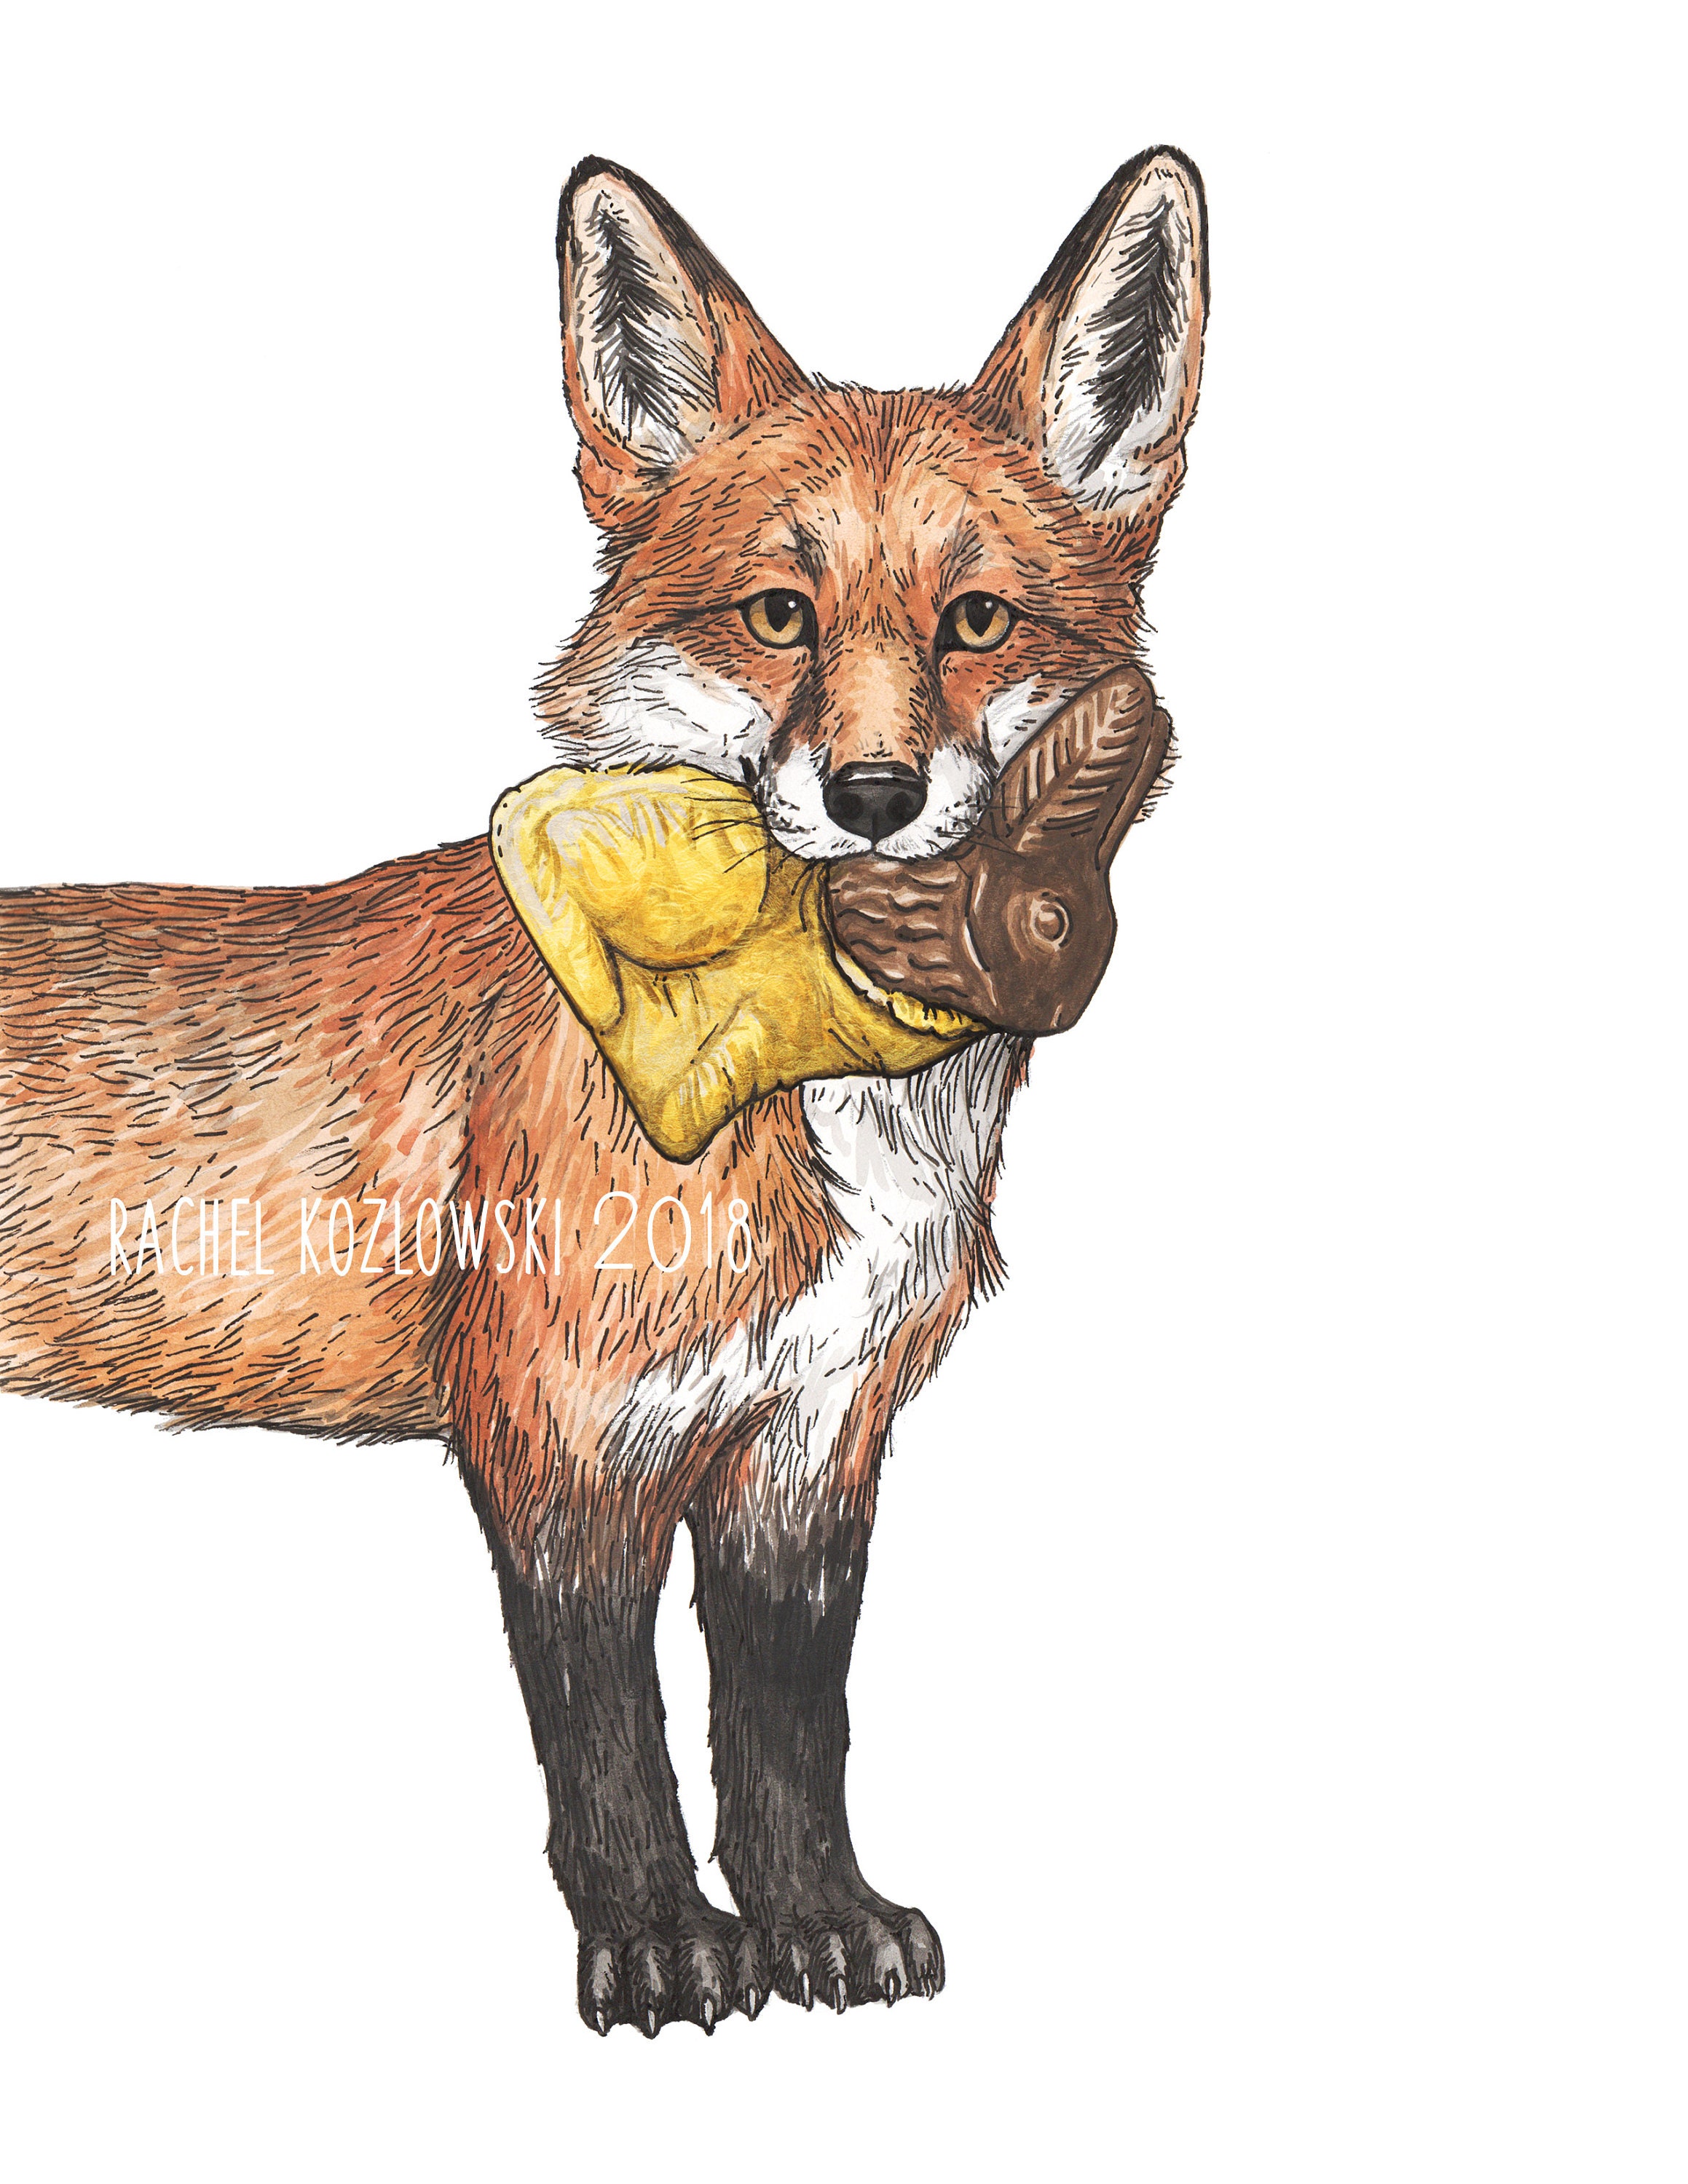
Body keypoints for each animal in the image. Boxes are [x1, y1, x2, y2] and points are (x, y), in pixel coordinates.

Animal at [0, 146, 1207, 2036]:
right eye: (779, 617)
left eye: (977, 623)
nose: (872, 794)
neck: (806, 1075)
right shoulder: (560, 1434)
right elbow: (613, 1741)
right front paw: (652, 1943)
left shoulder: (809, 1444)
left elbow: (788, 1729)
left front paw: (816, 1920)